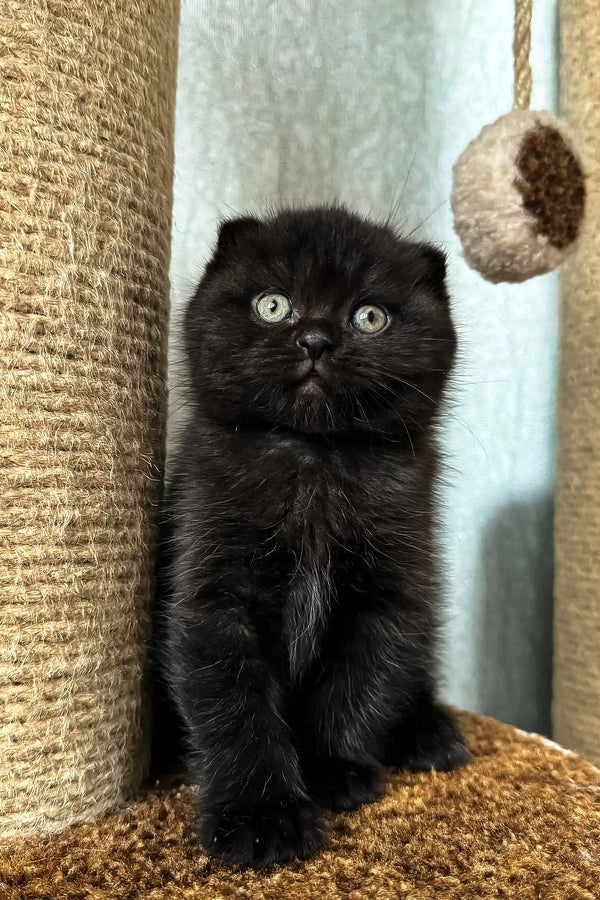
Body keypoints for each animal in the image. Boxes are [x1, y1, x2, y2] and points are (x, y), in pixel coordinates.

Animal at [158, 207, 468, 868]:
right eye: (274, 306)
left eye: (369, 317)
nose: (316, 340)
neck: (315, 460)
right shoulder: (211, 589)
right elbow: (232, 705)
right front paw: (260, 815)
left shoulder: (392, 590)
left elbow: (363, 678)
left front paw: (332, 769)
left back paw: (430, 733)